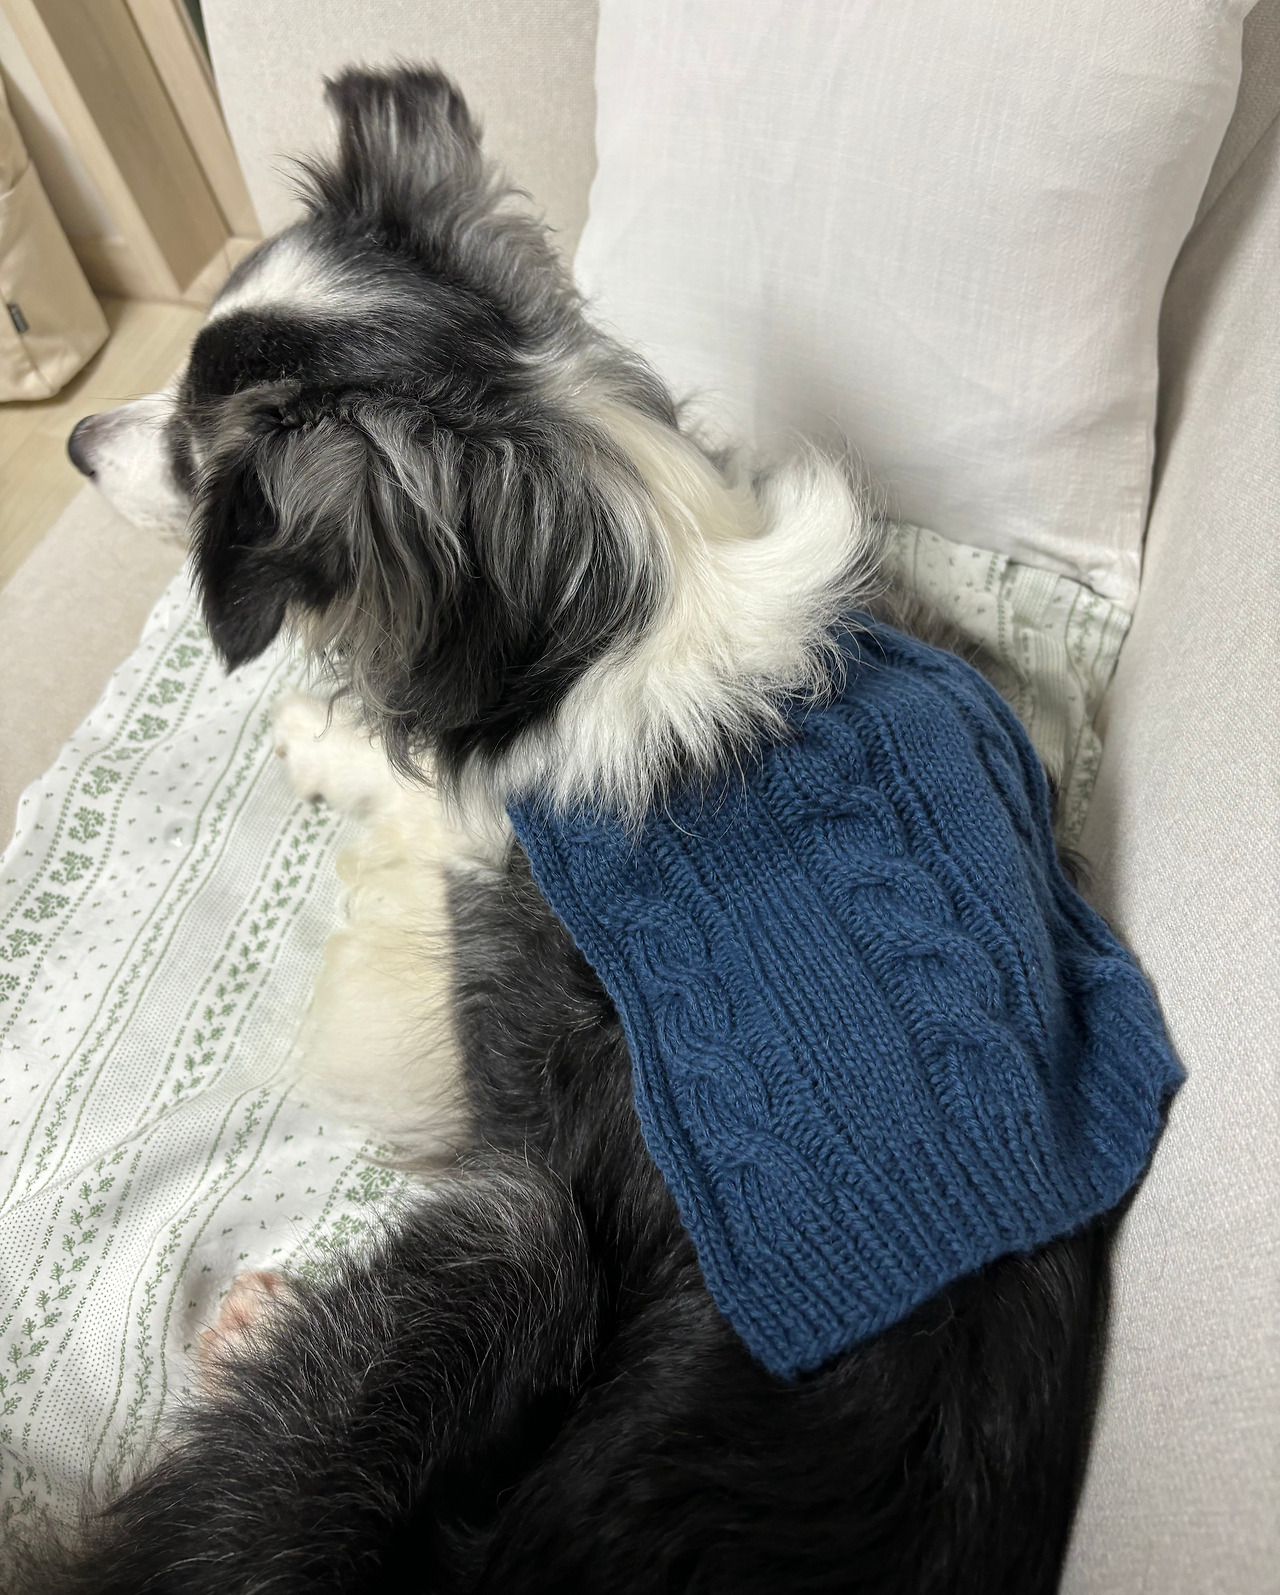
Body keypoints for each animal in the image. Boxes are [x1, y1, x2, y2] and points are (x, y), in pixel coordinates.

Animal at [43, 67, 1116, 1595]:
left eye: (198, 449)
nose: (71, 440)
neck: (597, 567)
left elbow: (406, 788)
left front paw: (318, 737)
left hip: (521, 1245)